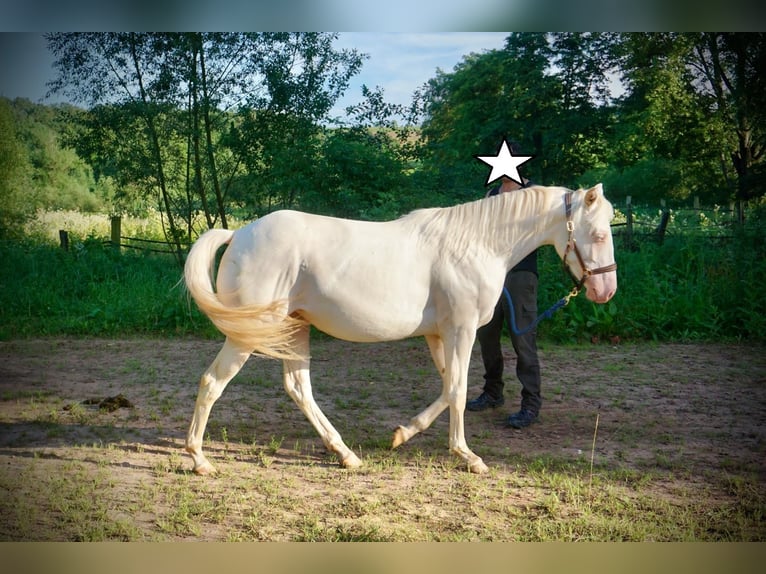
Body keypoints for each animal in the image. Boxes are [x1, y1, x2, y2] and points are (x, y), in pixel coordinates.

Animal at [184, 186, 616, 476]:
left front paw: (402, 434)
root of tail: (237, 233)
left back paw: (346, 455)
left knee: (298, 389)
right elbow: (458, 390)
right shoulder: (460, 330)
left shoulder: (440, 334)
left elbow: (448, 387)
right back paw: (199, 460)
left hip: (295, 330)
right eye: (598, 235)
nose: (605, 291)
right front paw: (468, 457)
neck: (477, 243)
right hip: (248, 334)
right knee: (212, 382)